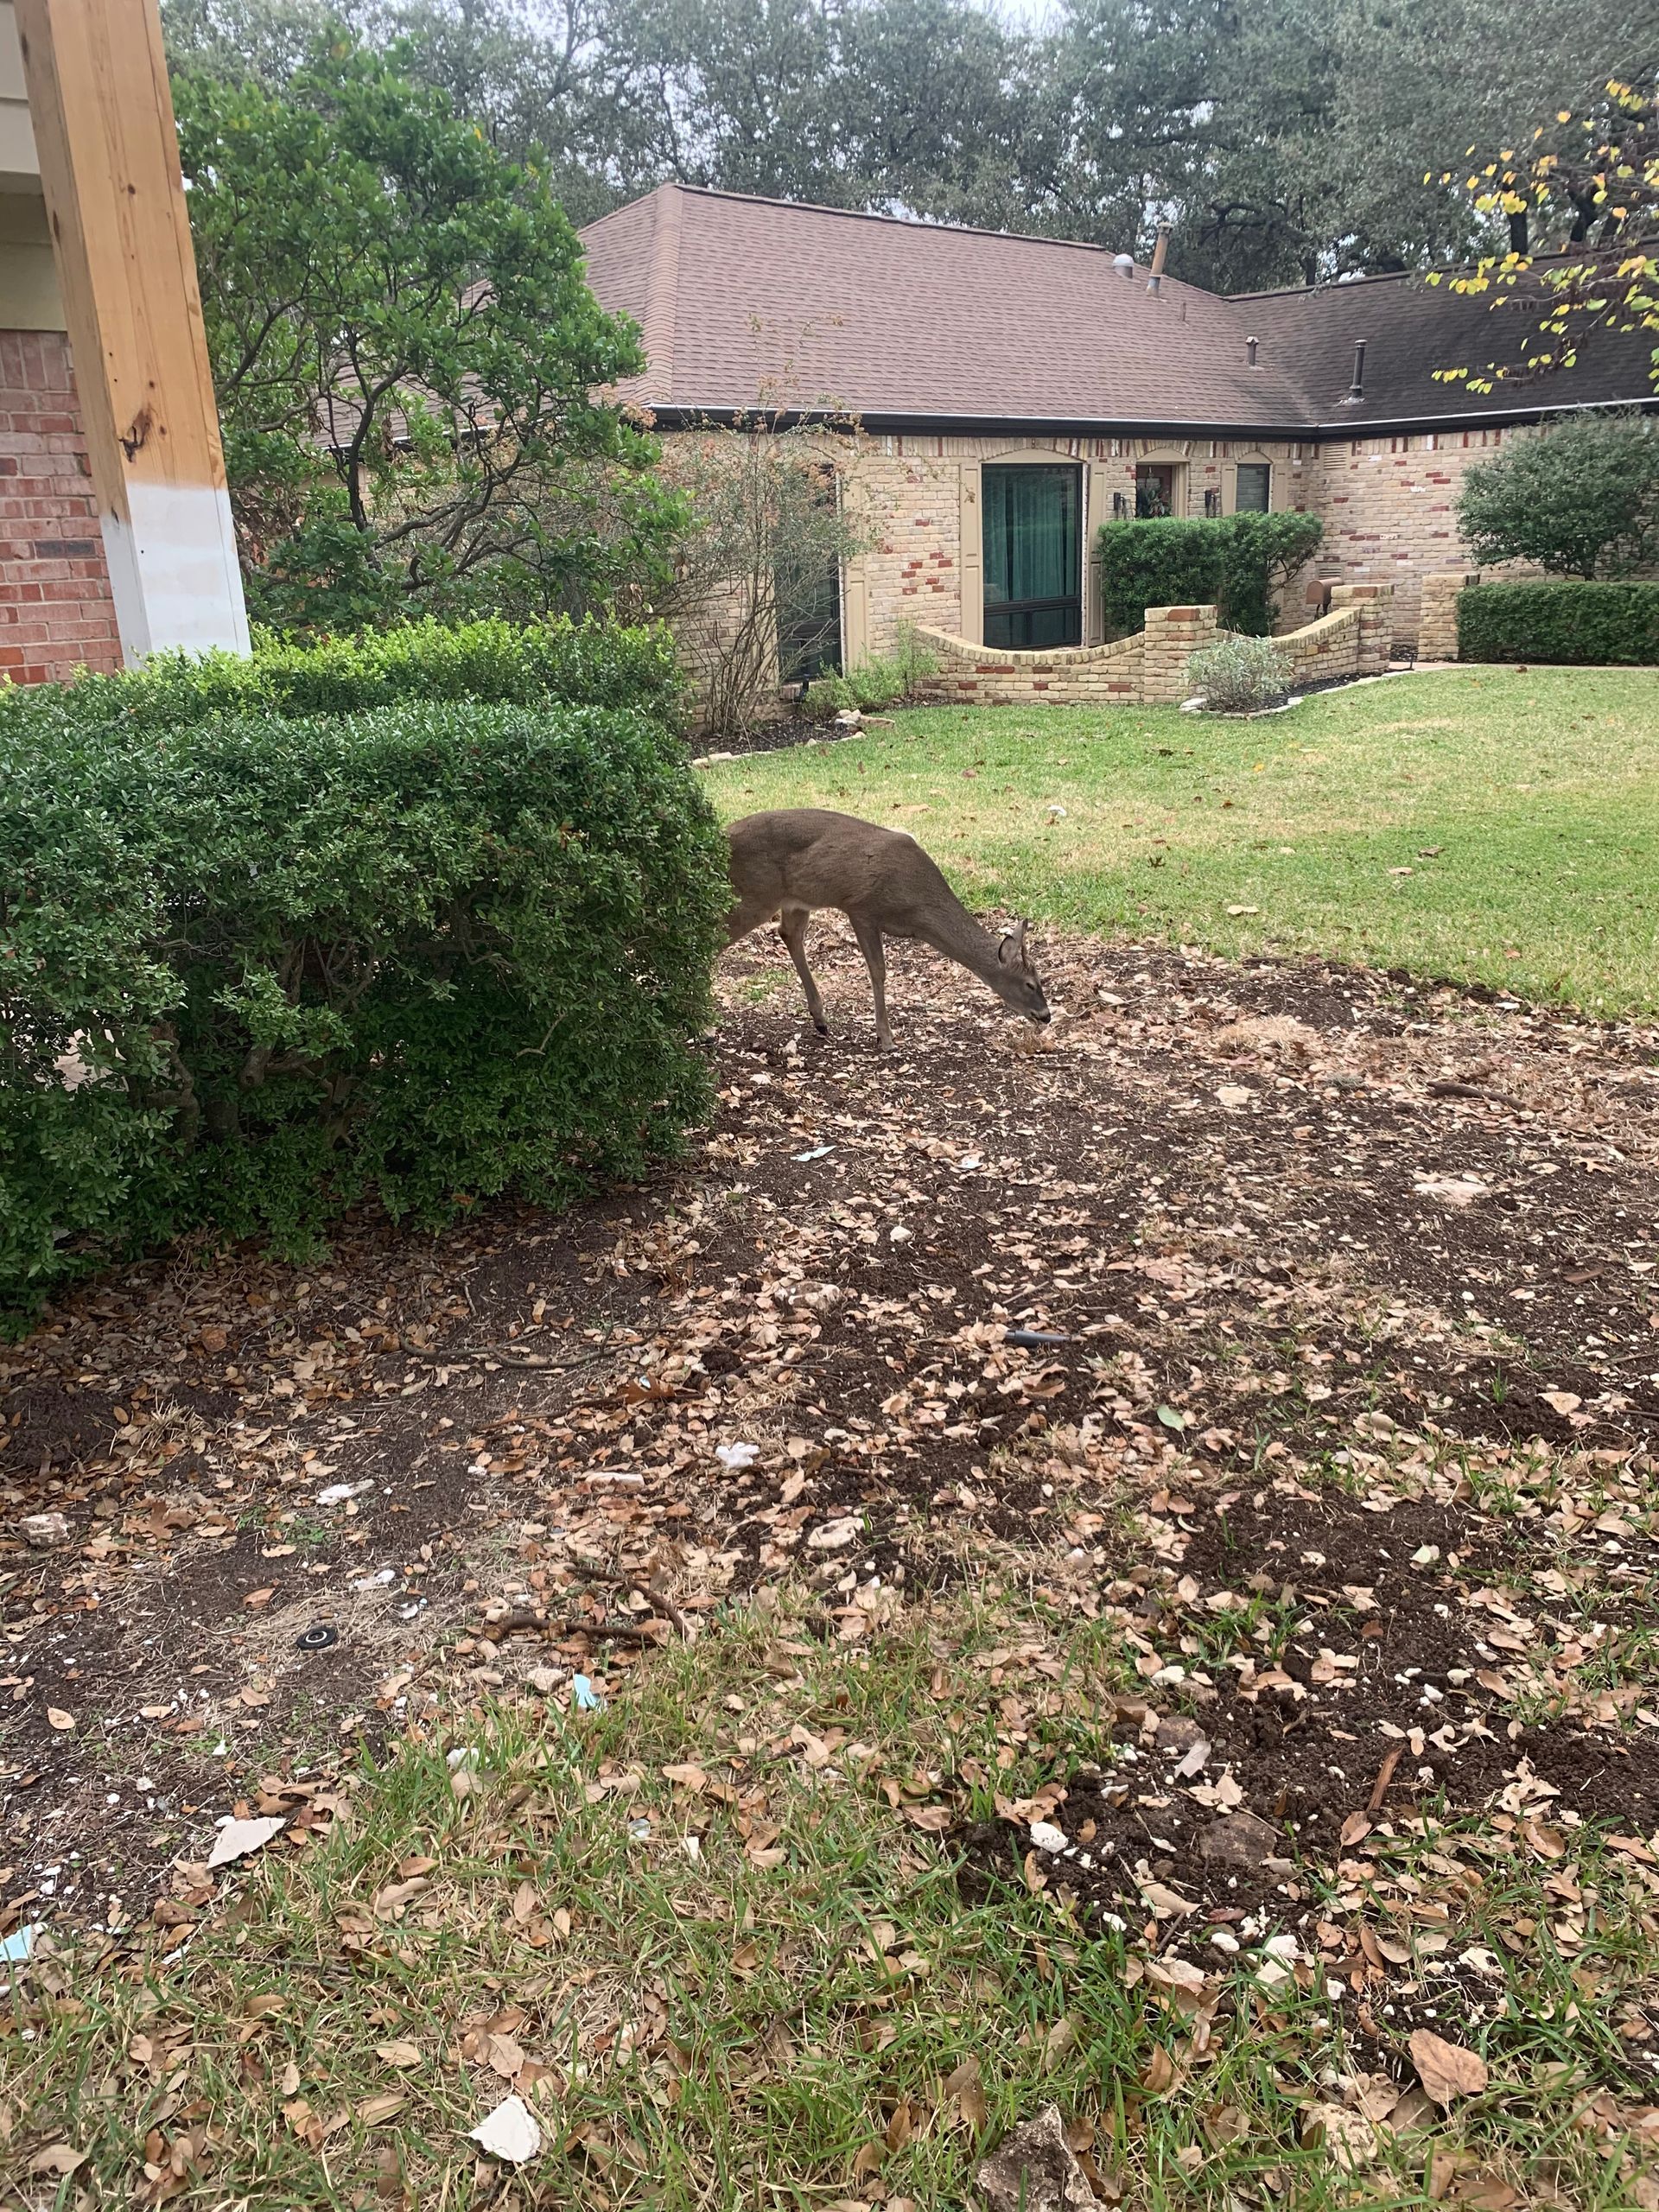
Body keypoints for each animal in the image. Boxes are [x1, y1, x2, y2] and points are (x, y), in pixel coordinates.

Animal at [724, 807, 1051, 1052]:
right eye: (1029, 984)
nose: (1046, 1016)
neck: (916, 911)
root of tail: (725, 834)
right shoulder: (862, 907)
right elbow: (878, 970)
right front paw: (886, 1037)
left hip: (797, 898)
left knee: (788, 932)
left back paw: (820, 1019)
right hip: (756, 891)